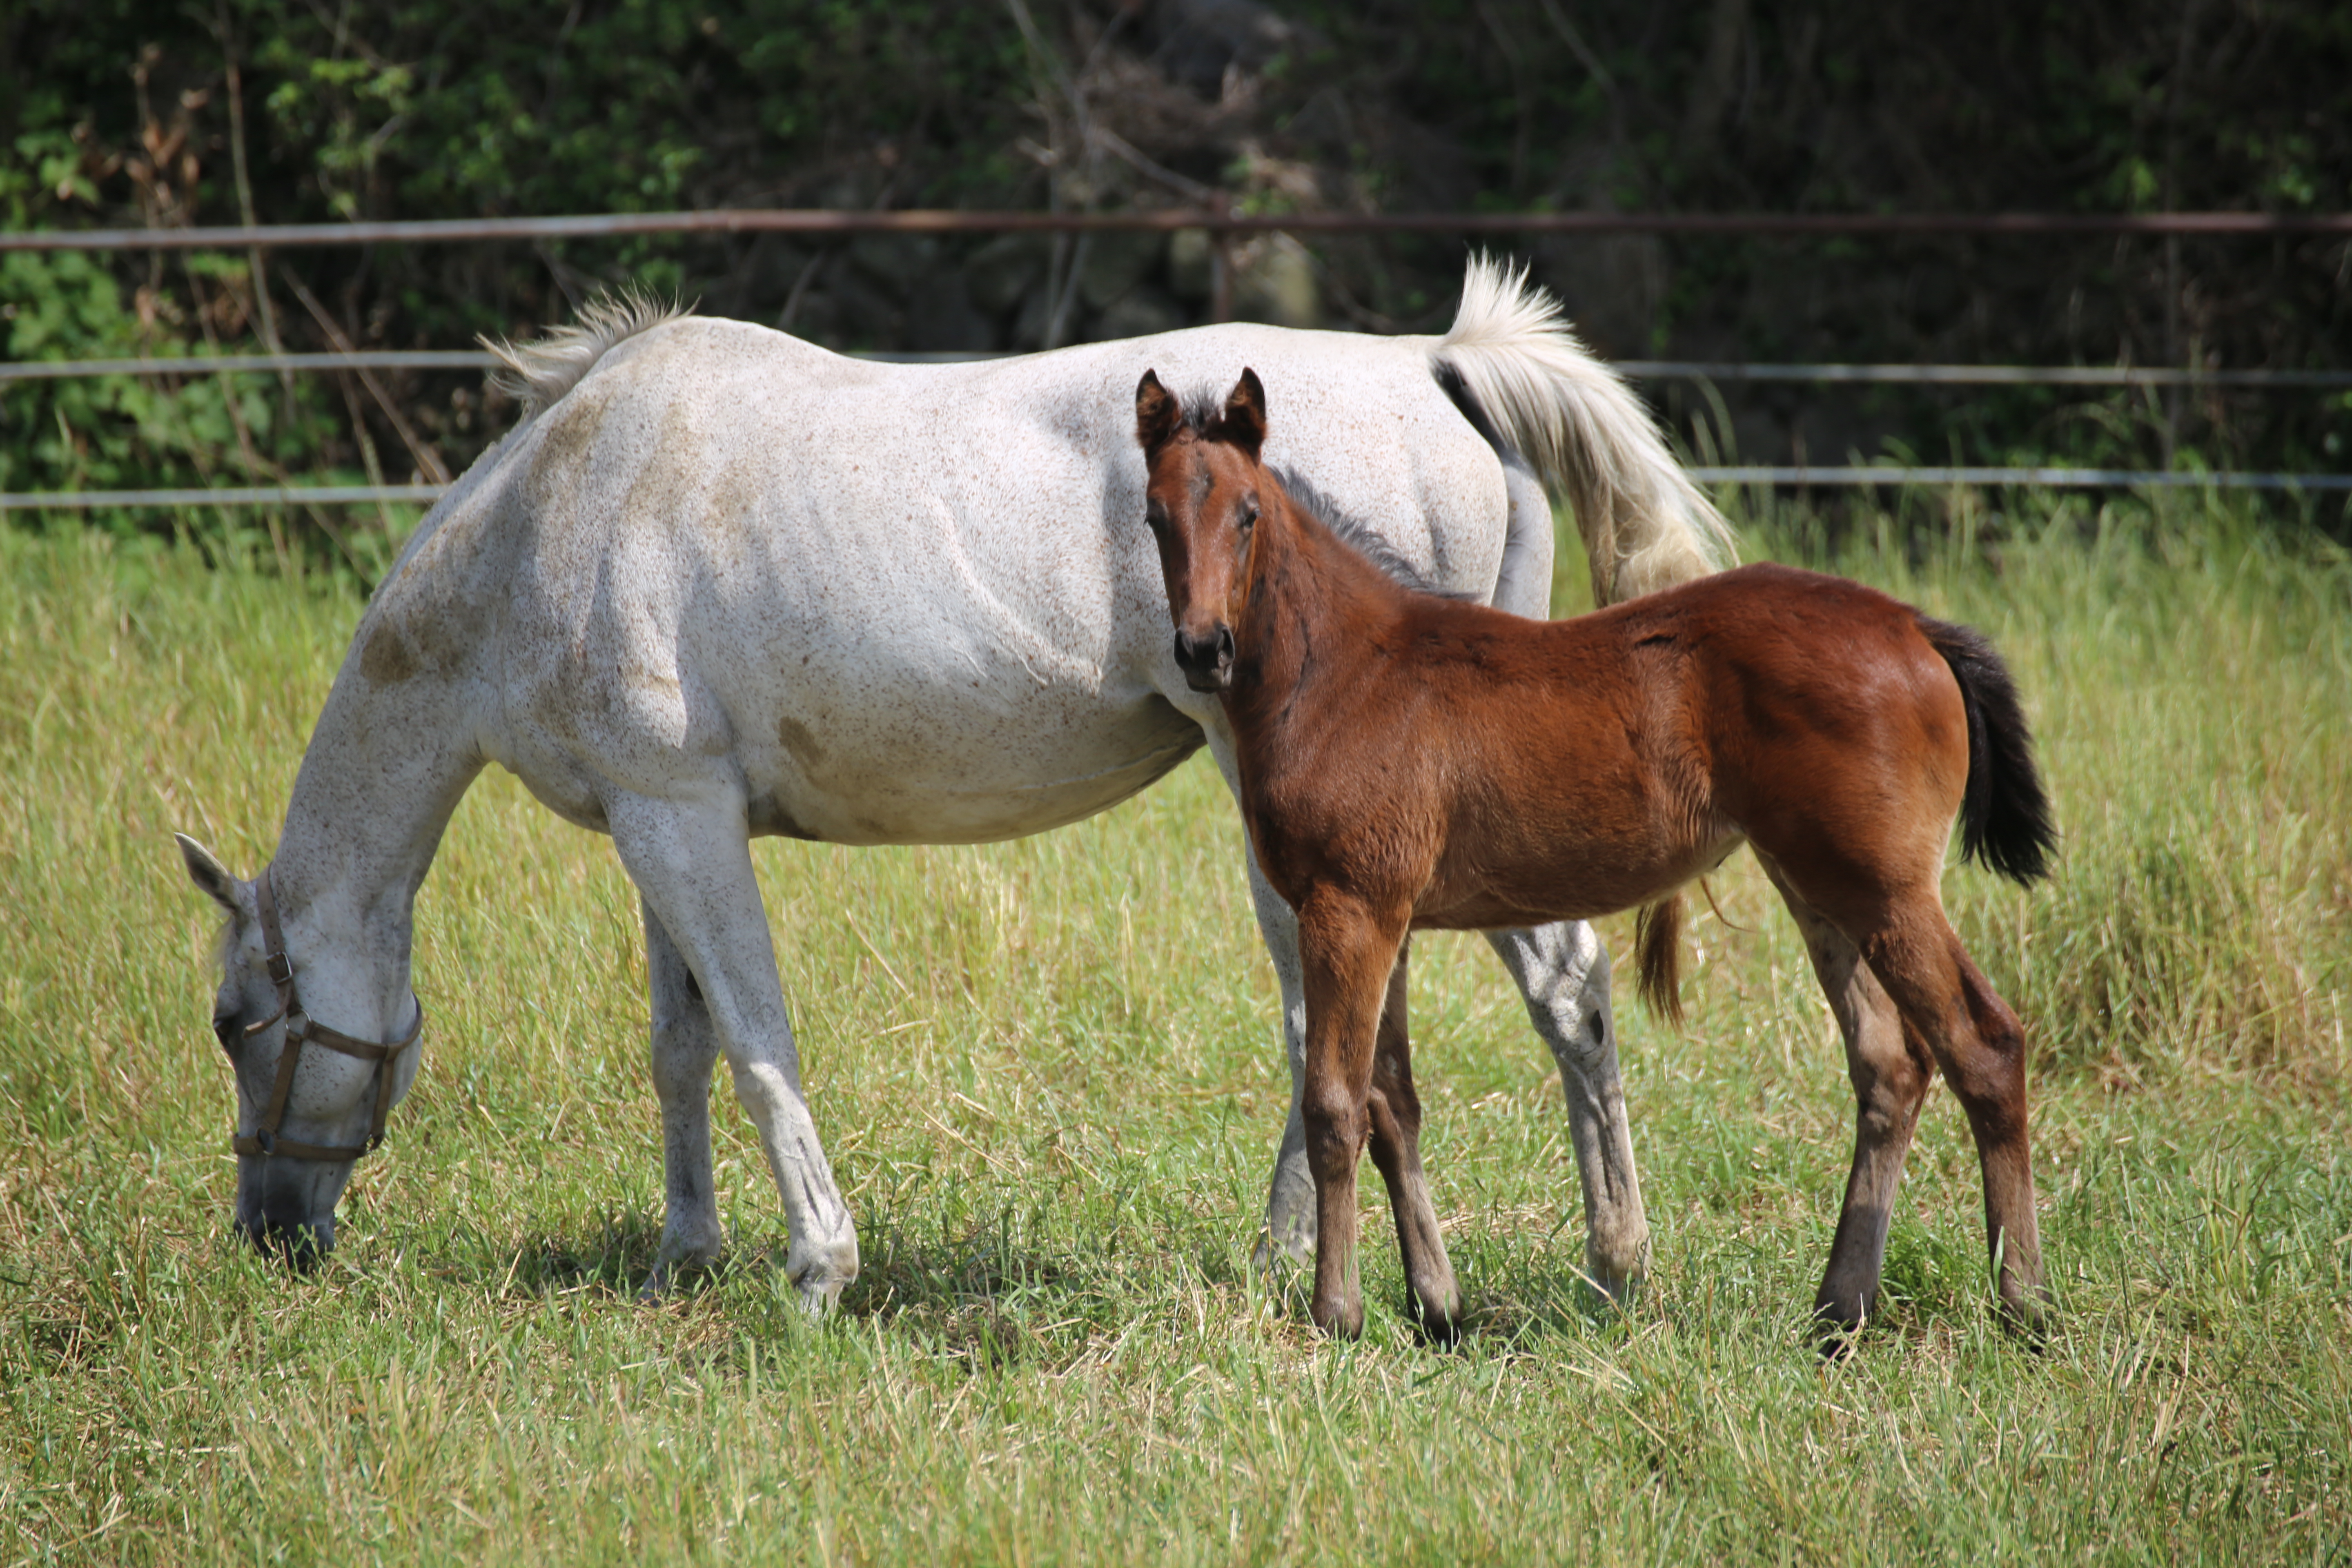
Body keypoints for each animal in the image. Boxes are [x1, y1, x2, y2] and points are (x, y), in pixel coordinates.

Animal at [178, 261, 1731, 1316]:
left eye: (235, 1020)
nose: (269, 1230)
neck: (558, 508)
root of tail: (1434, 366)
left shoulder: (682, 827)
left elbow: (758, 1045)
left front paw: (817, 1270)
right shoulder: (653, 824)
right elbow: (683, 1049)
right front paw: (687, 1255)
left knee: (1478, 1002)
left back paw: (1469, 1261)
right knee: (1474, 1009)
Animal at [1138, 369, 2060, 1354]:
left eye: (1247, 514)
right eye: (1155, 515)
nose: (1202, 649)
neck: (1343, 671)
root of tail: (1917, 628)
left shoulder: (1350, 909)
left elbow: (1335, 1105)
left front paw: (1336, 1315)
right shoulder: (1387, 919)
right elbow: (1395, 1104)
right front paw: (1437, 1307)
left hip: (1888, 889)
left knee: (1985, 1045)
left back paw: (2024, 1305)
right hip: (1819, 886)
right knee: (1889, 1065)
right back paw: (1838, 1311)